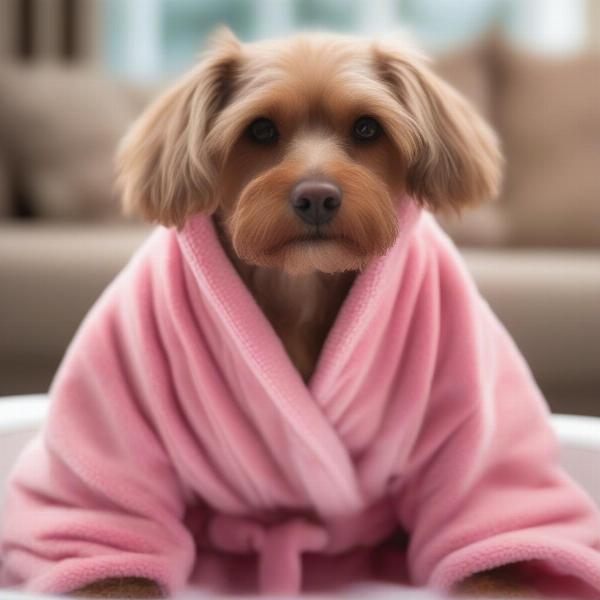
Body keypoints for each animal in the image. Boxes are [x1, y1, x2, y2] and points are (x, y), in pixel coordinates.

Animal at [2, 29, 596, 600]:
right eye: (261, 130)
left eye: (367, 128)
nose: (316, 197)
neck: (299, 283)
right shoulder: (117, 419)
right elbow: (114, 547)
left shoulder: (467, 405)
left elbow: (491, 542)